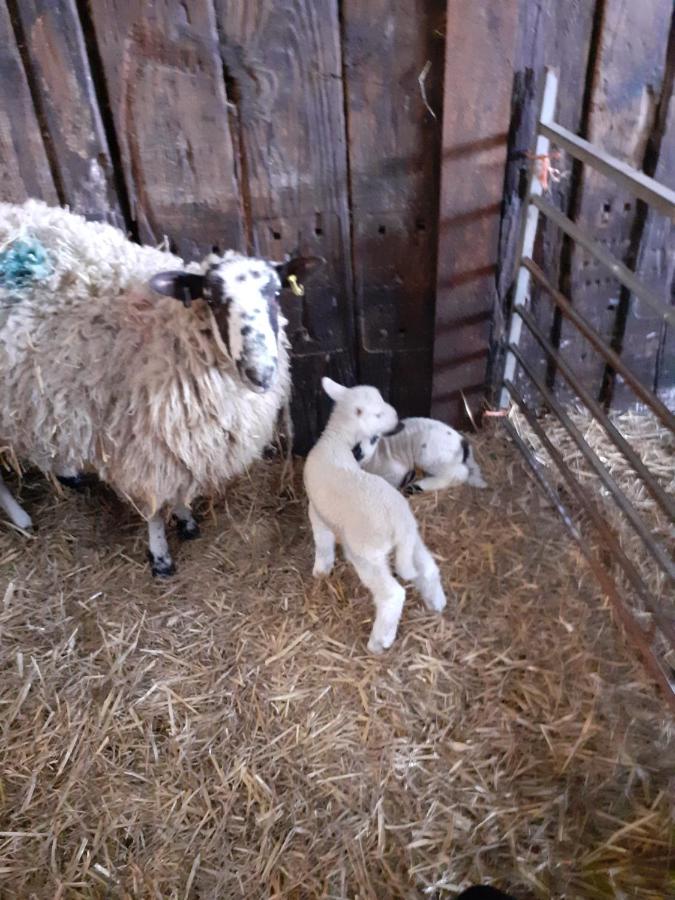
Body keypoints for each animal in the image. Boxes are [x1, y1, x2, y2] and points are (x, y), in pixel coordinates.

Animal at [0, 200, 324, 572]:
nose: (261, 372)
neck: (171, 336)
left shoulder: (180, 443)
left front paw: (186, 521)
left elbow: (181, 488)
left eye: (275, 293)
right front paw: (160, 557)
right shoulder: (146, 447)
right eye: (212, 300)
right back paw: (21, 518)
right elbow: (154, 506)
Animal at [304, 380, 446, 652]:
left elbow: (322, 543)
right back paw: (437, 602)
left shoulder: (316, 512)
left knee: (392, 595)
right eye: (378, 414)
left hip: (367, 554)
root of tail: (400, 523)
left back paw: (379, 641)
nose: (398, 419)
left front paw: (321, 570)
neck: (335, 440)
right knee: (428, 568)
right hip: (411, 541)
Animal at [354, 416, 486, 492]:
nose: (358, 452)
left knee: (459, 474)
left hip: (429, 457)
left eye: (374, 438)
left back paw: (418, 486)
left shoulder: (395, 471)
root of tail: (462, 441)